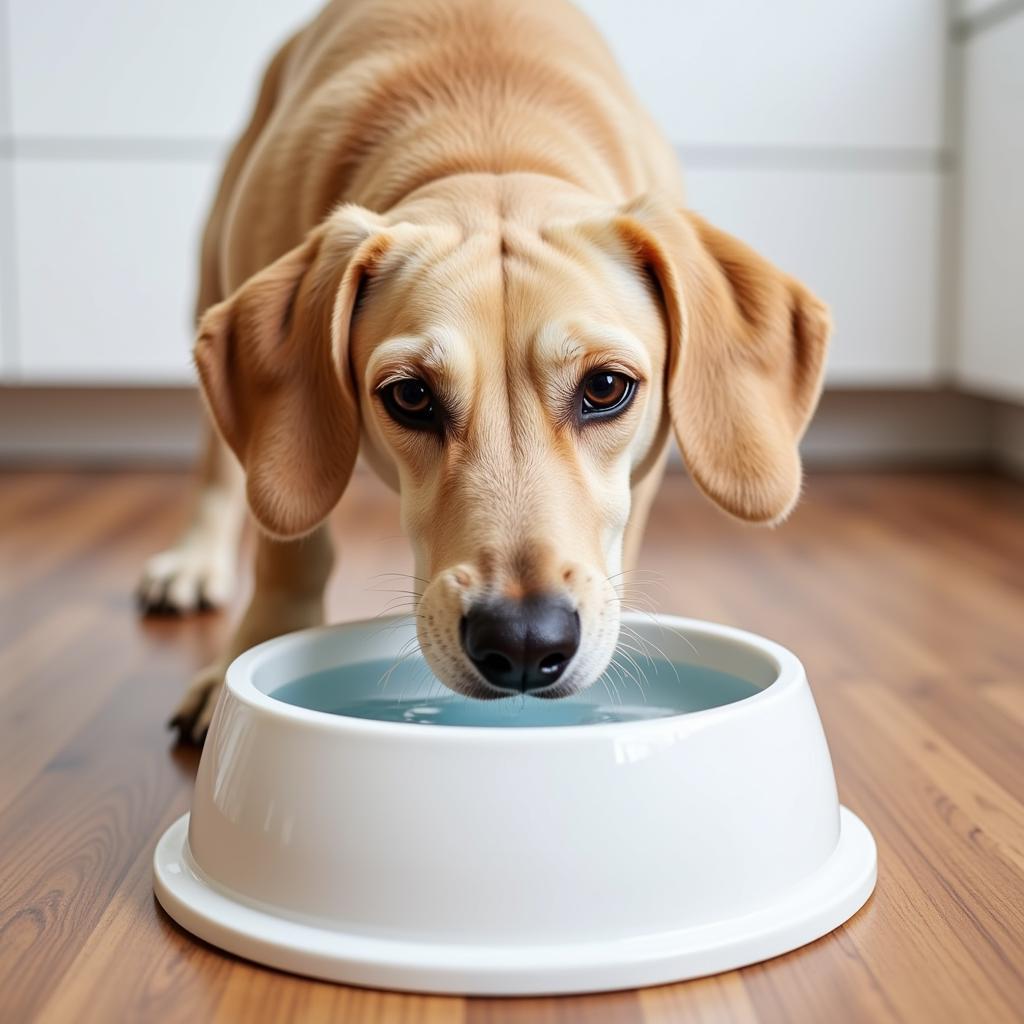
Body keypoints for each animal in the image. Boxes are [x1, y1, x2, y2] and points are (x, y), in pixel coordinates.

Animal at [140, 0, 831, 741]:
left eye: (606, 388)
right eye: (411, 396)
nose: (525, 641)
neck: (489, 145)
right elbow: (290, 544)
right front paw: (247, 656)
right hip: (210, 269)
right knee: (219, 458)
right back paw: (193, 560)